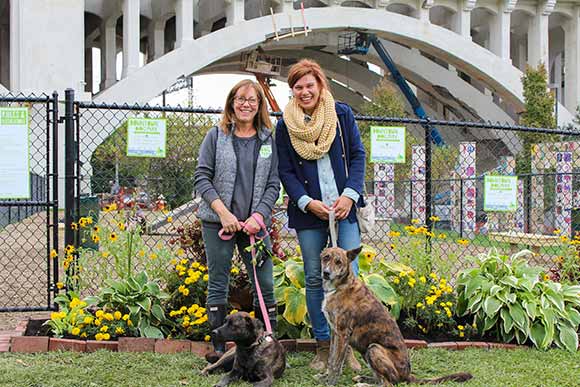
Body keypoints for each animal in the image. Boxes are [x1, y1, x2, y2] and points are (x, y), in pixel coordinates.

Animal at [320, 247, 474, 386]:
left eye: (338, 262)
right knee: (382, 380)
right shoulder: (335, 333)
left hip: (374, 348)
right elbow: (331, 359)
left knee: (389, 383)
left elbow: (336, 364)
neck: (341, 286)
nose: (326, 273)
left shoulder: (342, 333)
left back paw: (364, 384)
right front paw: (325, 377)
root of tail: (407, 375)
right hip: (367, 352)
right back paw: (363, 379)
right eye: (326, 257)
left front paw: (330, 383)